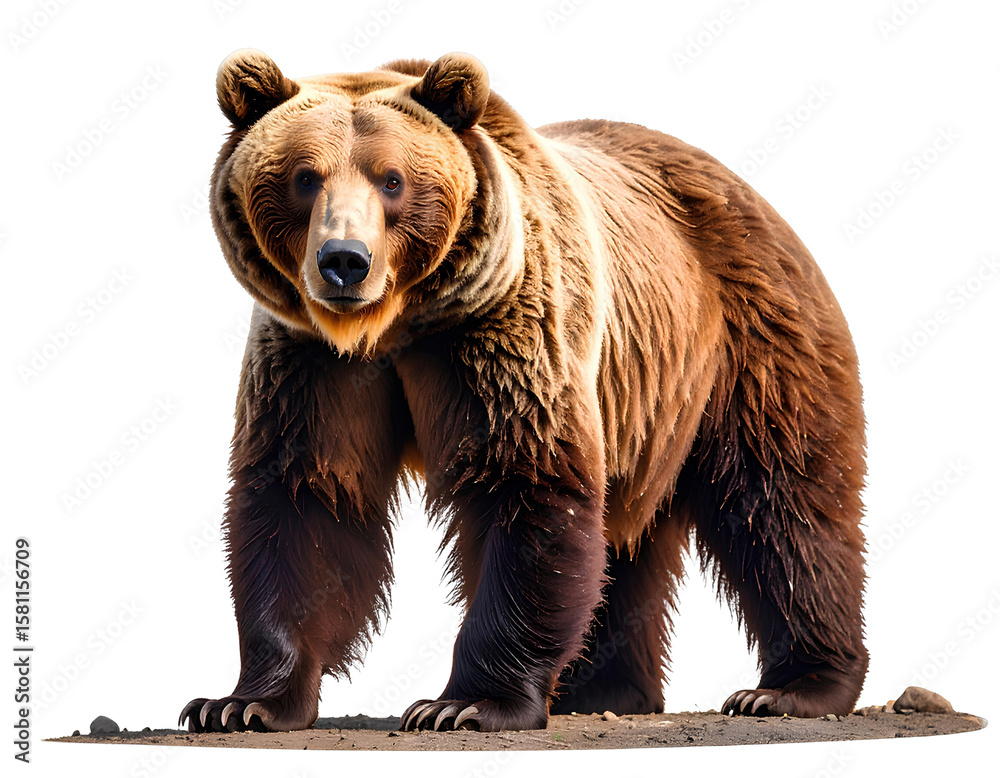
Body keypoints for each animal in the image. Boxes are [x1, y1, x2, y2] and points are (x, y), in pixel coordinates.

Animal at [179, 50, 869, 734]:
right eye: (304, 176)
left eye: (392, 179)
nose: (343, 261)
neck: (397, 324)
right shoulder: (313, 361)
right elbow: (306, 494)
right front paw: (238, 703)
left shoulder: (506, 329)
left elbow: (527, 483)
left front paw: (463, 703)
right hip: (643, 407)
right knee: (627, 543)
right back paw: (604, 690)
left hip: (749, 341)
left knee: (783, 502)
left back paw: (790, 687)